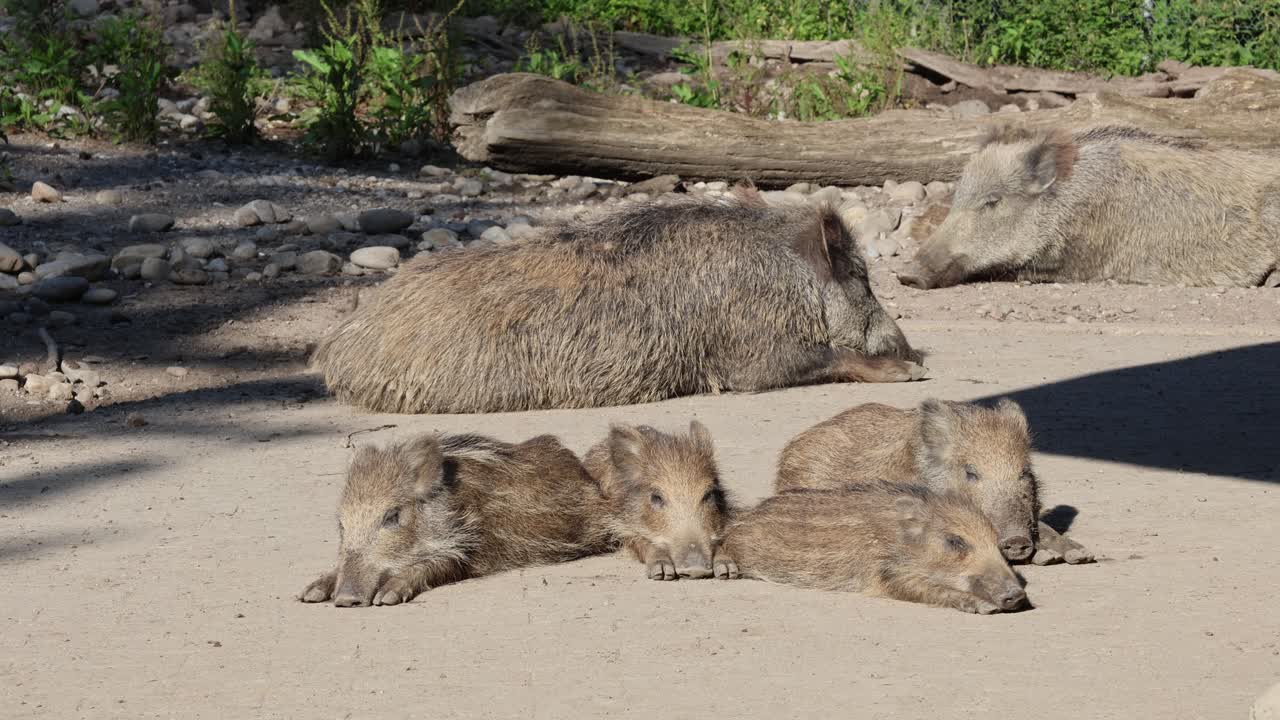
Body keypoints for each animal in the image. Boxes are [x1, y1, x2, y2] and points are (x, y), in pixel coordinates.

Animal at [299, 432, 616, 607]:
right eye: (341, 524)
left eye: (392, 516)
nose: (345, 600)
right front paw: (309, 594)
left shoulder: (470, 552)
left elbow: (435, 563)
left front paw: (386, 597)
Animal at [311, 191, 924, 414]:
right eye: (861, 278)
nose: (913, 350)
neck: (785, 277)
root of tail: (336, 345)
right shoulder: (748, 358)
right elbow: (826, 357)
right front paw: (912, 375)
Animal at [583, 420, 738, 580]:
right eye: (656, 497)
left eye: (709, 494)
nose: (696, 570)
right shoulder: (619, 526)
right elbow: (643, 542)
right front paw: (661, 573)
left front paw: (728, 571)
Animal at [721, 483, 1029, 614]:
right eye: (955, 541)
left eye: (996, 542)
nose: (1016, 595)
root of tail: (744, 515)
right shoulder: (884, 574)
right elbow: (925, 588)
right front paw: (985, 608)